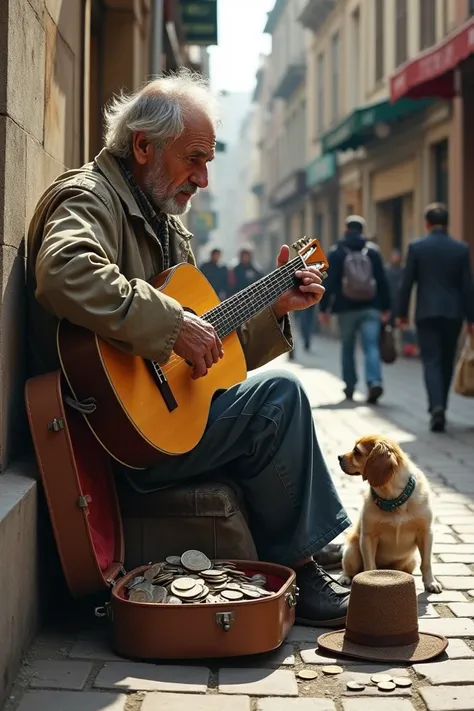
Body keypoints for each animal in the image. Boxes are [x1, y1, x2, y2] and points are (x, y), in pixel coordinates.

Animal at [336, 434, 440, 596]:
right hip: (351, 553)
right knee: (349, 569)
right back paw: (345, 577)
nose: (339, 457)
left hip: (410, 562)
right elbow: (370, 566)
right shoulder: (368, 537)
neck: (393, 501)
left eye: (357, 452)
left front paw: (431, 582)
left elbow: (426, 563)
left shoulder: (426, 534)